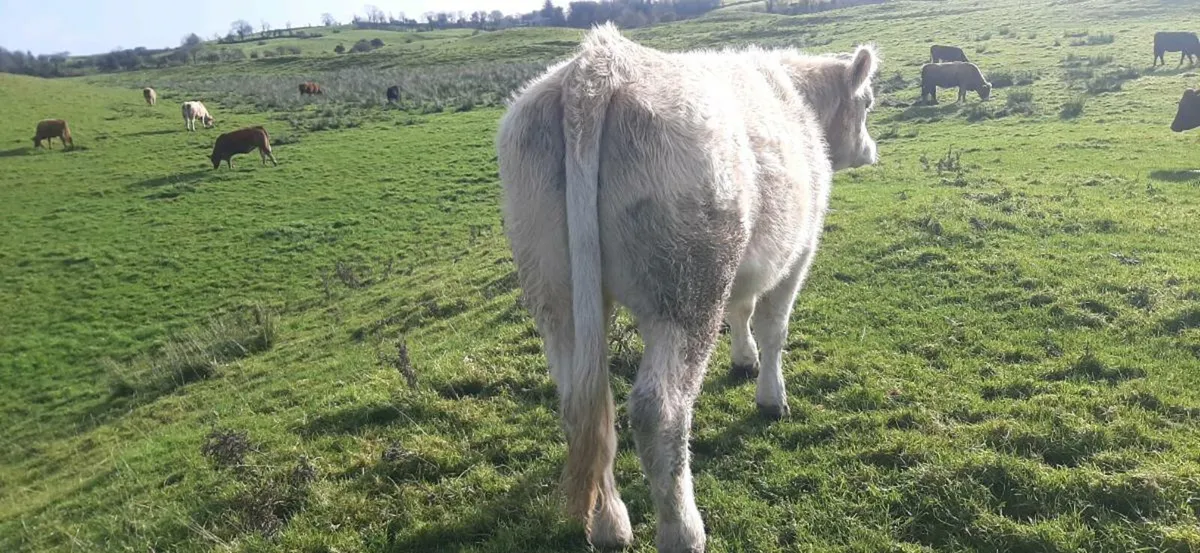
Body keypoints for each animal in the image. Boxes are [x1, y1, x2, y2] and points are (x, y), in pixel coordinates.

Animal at [496, 23, 879, 553]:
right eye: (868, 102)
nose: (871, 150)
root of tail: (598, 65)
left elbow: (741, 311)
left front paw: (743, 359)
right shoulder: (796, 253)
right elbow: (774, 328)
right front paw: (771, 397)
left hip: (555, 293)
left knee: (583, 402)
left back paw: (610, 524)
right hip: (687, 293)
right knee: (659, 410)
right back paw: (683, 531)